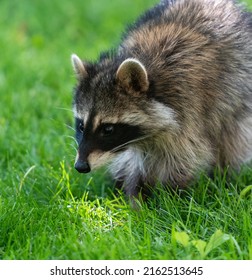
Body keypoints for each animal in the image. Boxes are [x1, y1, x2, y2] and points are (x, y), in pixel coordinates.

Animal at [70, 0, 252, 198]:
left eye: (108, 129)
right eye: (81, 125)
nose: (80, 166)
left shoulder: (190, 109)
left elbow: (185, 156)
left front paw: (171, 195)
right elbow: (131, 162)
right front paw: (131, 191)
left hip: (238, 103)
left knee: (232, 141)